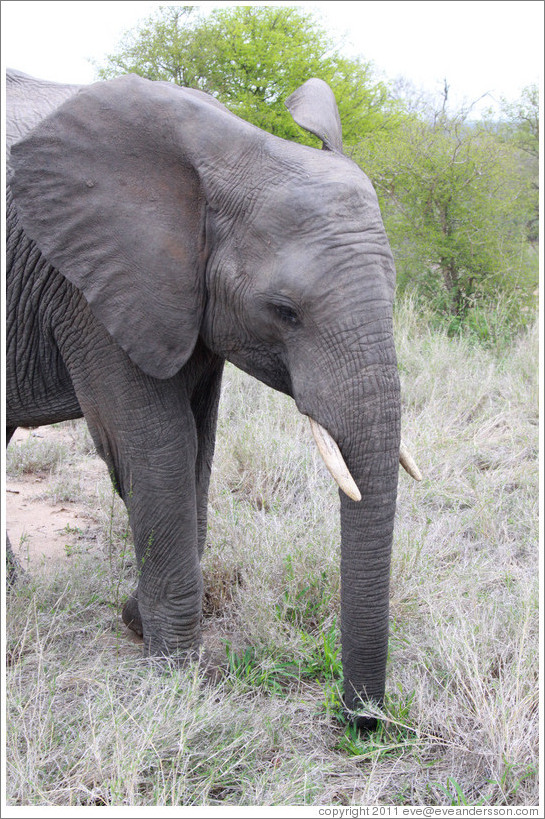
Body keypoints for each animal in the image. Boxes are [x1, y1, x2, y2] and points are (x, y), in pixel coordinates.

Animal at [5, 67, 420, 729]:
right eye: (285, 311)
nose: (362, 723)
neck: (234, 150)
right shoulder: (93, 286)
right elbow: (157, 449)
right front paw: (175, 678)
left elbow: (199, 443)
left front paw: (137, 625)